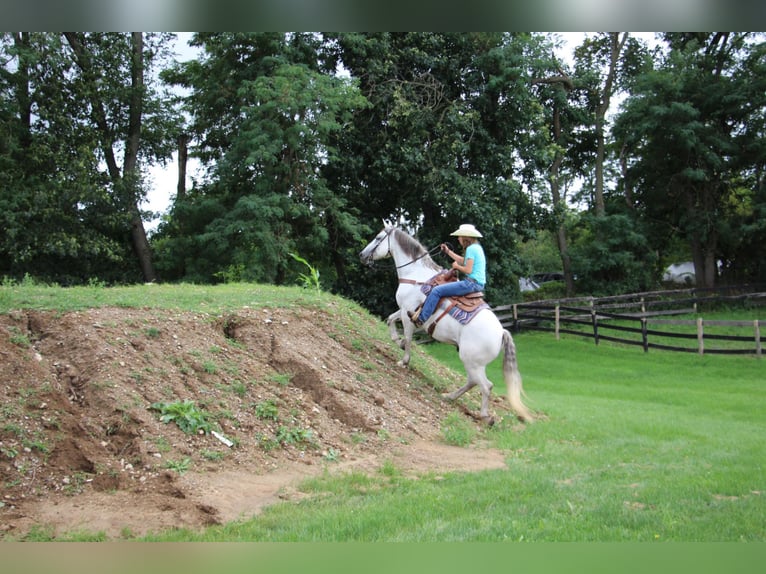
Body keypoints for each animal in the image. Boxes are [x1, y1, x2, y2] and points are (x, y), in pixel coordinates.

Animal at [358, 223, 536, 426]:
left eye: (378, 238)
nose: (362, 255)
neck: (415, 275)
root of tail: (501, 333)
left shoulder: (407, 314)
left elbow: (409, 338)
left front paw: (404, 360)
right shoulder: (405, 310)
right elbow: (390, 320)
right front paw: (398, 341)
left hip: (471, 361)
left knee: (485, 386)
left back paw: (485, 416)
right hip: (472, 362)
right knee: (472, 382)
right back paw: (449, 396)